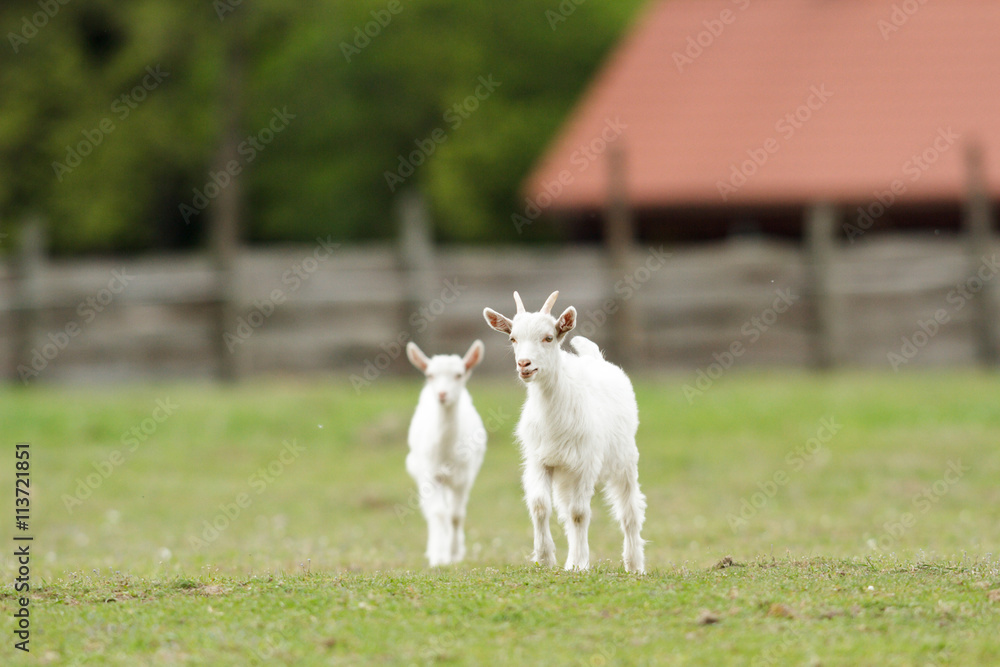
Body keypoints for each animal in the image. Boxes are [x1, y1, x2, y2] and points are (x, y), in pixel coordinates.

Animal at [405, 340, 487, 566]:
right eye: (430, 375)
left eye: (459, 374)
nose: (442, 394)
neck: (446, 453)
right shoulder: (429, 473)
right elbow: (439, 513)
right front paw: (439, 557)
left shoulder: (464, 476)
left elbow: (456, 515)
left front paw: (455, 552)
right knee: (430, 511)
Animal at [483, 291, 646, 573]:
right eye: (513, 338)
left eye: (548, 337)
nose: (524, 364)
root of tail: (597, 359)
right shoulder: (540, 460)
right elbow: (540, 506)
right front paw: (546, 558)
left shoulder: (585, 463)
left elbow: (579, 513)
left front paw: (580, 563)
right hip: (564, 474)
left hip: (624, 460)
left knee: (629, 512)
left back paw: (634, 563)